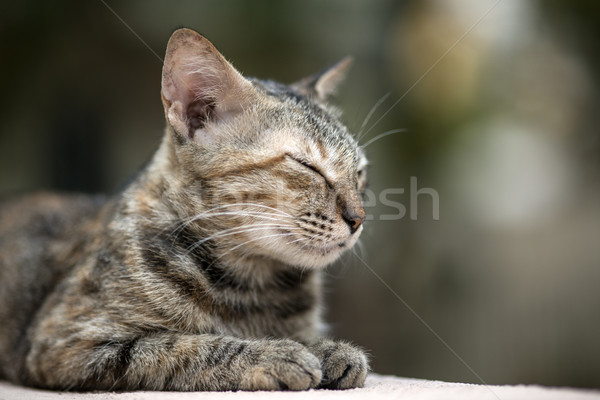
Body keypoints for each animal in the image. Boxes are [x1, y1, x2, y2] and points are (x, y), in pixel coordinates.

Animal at [0, 29, 370, 392]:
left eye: (360, 172)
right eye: (307, 166)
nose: (358, 219)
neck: (252, 285)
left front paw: (325, 348)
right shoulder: (66, 343)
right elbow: (184, 345)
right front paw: (274, 353)